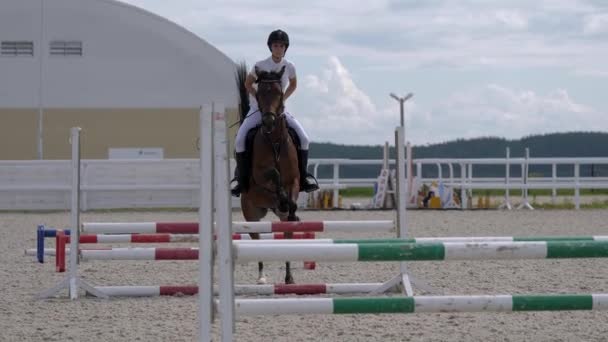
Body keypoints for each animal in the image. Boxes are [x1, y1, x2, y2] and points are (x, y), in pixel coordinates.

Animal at [241, 65, 300, 284]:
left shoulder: (295, 180)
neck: (274, 140)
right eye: (259, 94)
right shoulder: (259, 176)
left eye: (279, 93)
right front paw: (281, 197)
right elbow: (273, 173)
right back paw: (261, 277)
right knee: (257, 239)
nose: (268, 121)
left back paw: (289, 277)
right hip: (251, 215)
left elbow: (291, 197)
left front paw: (290, 207)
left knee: (287, 233)